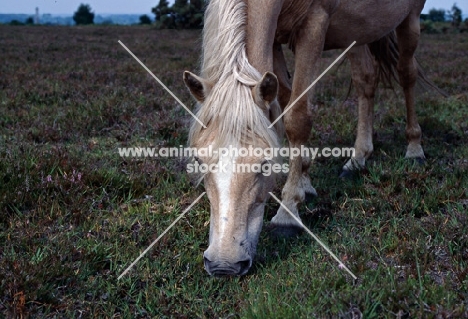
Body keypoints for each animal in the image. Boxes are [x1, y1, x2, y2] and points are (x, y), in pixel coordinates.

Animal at [183, 0, 436, 278]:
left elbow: (297, 117)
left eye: (265, 164)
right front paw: (305, 184)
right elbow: (284, 100)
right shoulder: (276, 41)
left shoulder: (314, 26)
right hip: (358, 32)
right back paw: (357, 159)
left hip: (409, 20)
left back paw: (414, 149)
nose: (224, 266)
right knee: (366, 80)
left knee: (406, 74)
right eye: (199, 161)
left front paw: (288, 212)